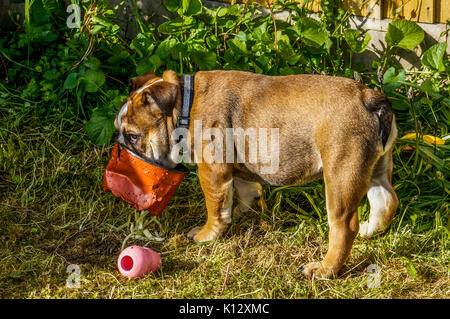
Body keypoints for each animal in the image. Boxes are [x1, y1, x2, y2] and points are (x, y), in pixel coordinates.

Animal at [115, 70, 398, 280]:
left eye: (133, 136)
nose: (120, 144)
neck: (184, 104)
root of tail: (370, 99)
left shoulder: (212, 171)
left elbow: (215, 206)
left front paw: (207, 234)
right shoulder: (239, 168)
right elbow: (245, 191)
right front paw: (244, 214)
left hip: (341, 172)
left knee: (344, 226)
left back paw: (325, 269)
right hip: (375, 167)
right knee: (386, 200)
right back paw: (371, 230)